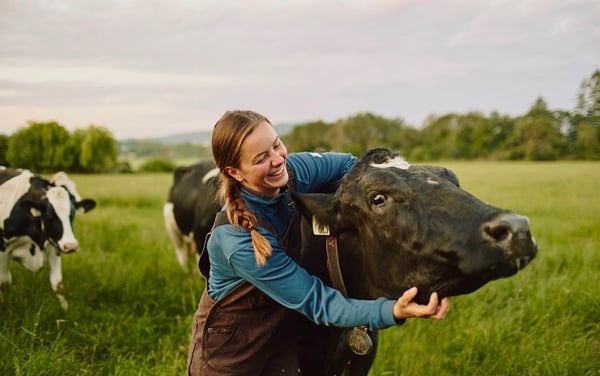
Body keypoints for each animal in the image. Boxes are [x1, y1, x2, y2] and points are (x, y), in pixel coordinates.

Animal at [0, 169, 95, 310]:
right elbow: (4, 284)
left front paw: (65, 309)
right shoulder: (3, 250)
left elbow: (58, 284)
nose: (71, 246)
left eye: (72, 214)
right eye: (49, 215)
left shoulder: (54, 246)